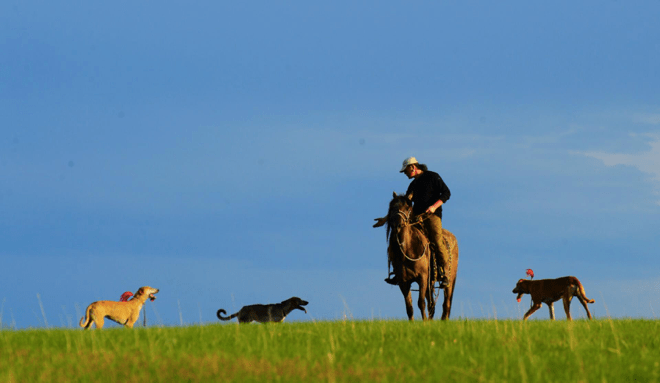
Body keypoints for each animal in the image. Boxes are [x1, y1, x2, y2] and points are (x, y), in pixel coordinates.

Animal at [374, 192, 462, 320]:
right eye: (392, 207)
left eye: (407, 208)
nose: (397, 226)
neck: (407, 251)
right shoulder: (403, 282)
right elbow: (409, 307)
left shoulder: (422, 278)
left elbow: (421, 303)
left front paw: (424, 321)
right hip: (431, 282)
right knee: (432, 304)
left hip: (450, 280)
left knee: (446, 303)